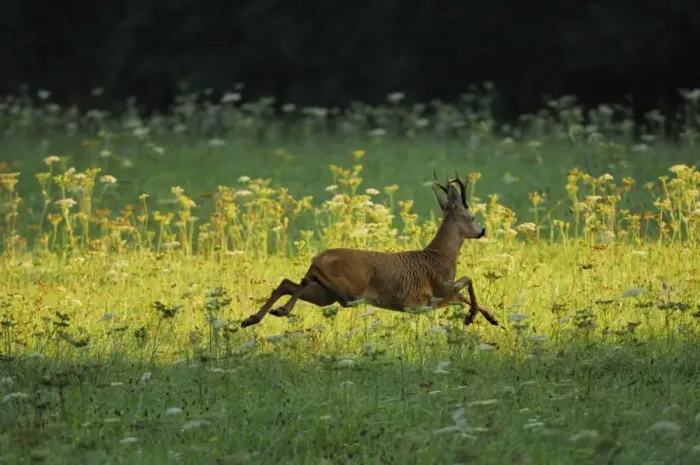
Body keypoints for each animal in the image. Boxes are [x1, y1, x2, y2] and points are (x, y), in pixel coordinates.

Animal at [240, 171, 500, 329]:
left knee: (288, 283)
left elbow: (465, 294)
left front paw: (490, 318)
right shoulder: (437, 291)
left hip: (326, 295)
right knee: (304, 280)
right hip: (349, 290)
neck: (441, 254)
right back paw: (281, 310)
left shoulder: (440, 297)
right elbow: (468, 280)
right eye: (472, 216)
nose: (482, 230)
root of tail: (318, 256)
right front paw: (472, 317)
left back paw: (254, 318)